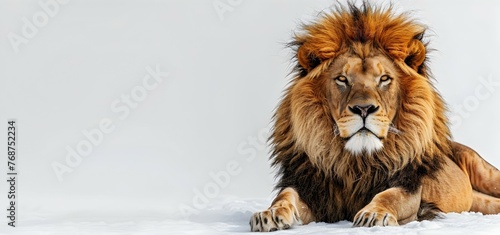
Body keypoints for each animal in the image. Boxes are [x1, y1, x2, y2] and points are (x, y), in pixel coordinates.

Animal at [250, 1, 500, 233]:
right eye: (342, 79)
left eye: (384, 78)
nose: (363, 109)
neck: (357, 162)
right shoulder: (310, 188)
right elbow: (285, 195)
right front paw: (269, 214)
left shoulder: (409, 187)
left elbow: (389, 196)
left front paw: (374, 214)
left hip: (483, 171)